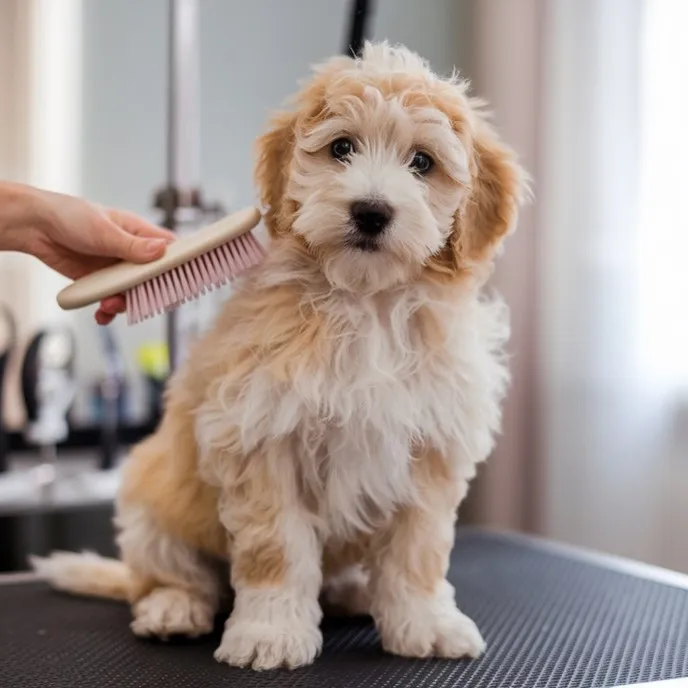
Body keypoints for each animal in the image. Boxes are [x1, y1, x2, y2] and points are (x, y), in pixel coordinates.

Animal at [32, 40, 524, 668]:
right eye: (342, 147)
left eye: (422, 162)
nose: (371, 211)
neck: (364, 302)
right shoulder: (262, 437)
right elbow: (277, 550)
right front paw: (270, 632)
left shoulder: (432, 446)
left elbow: (419, 550)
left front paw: (426, 622)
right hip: (152, 502)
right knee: (173, 574)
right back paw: (173, 607)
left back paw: (356, 592)